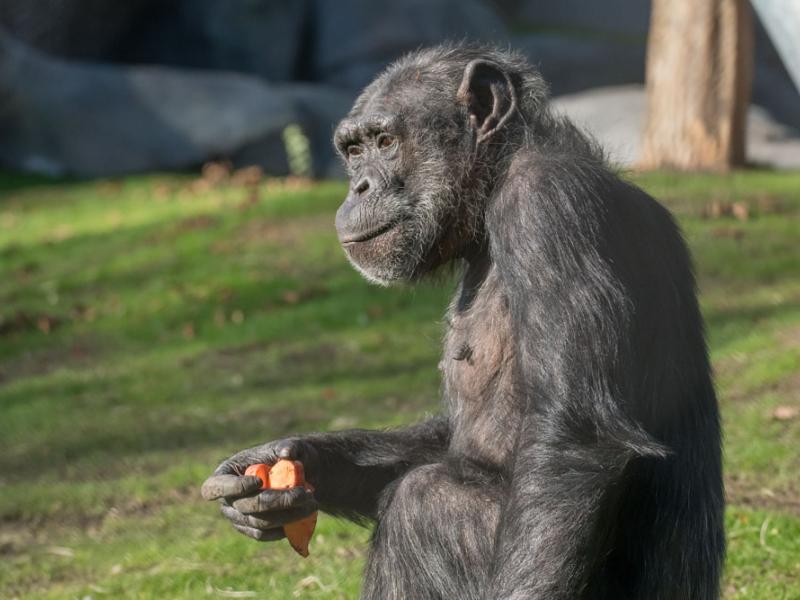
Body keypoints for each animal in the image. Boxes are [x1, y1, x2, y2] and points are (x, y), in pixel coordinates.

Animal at [202, 44, 724, 596]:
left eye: (386, 142)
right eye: (354, 151)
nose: (360, 186)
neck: (496, 183)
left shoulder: (547, 209)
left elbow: (574, 438)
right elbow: (449, 436)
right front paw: (289, 464)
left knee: (423, 503)